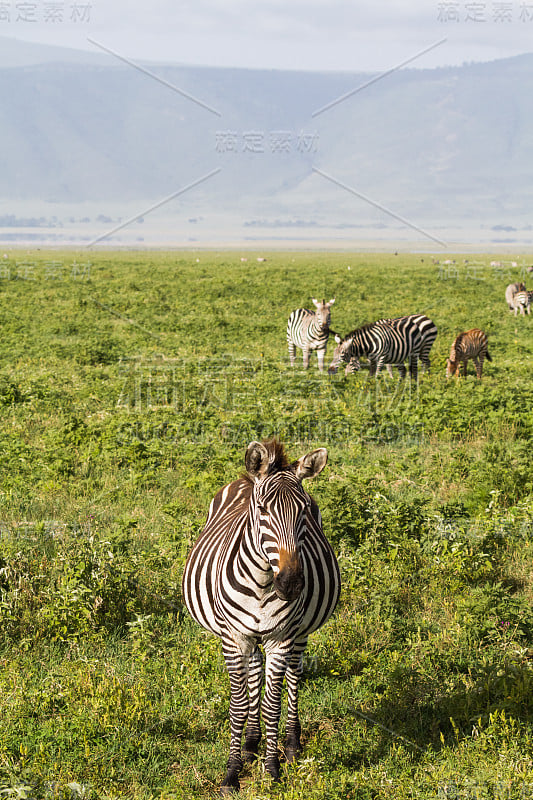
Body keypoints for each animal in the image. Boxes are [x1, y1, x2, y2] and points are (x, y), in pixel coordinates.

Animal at [181, 440, 338, 796]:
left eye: (304, 511)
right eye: (263, 510)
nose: (291, 584)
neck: (264, 583)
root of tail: (245, 479)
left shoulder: (282, 637)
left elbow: (272, 704)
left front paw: (272, 769)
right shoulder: (233, 638)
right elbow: (239, 705)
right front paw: (232, 773)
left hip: (300, 632)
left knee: (294, 675)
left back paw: (290, 744)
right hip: (248, 637)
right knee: (254, 672)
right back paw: (250, 744)